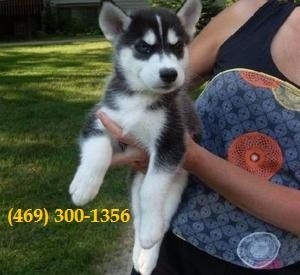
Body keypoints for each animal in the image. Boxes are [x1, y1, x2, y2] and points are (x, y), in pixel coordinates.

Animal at [68, 1, 202, 274]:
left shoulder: (171, 141)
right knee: (138, 216)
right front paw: (85, 185)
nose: (170, 74)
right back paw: (139, 253)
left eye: (177, 46)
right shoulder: (99, 118)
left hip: (176, 183)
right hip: (135, 183)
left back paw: (148, 250)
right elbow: (98, 150)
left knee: (159, 218)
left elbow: (152, 190)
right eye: (144, 47)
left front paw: (151, 233)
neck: (139, 99)